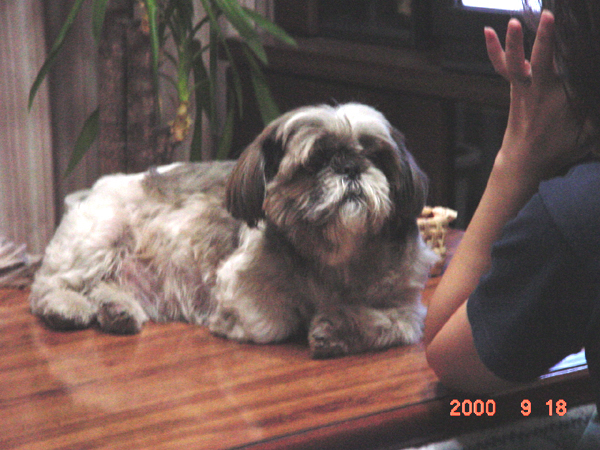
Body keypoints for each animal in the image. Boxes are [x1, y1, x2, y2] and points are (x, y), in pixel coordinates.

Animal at [30, 103, 438, 358]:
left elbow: (393, 324)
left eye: (377, 157)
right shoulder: (240, 285)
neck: (336, 255)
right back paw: (66, 307)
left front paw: (338, 329)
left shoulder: (407, 304)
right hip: (98, 237)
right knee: (47, 288)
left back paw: (116, 309)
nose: (350, 166)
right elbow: (275, 321)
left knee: (105, 286)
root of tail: (93, 189)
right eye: (315, 161)